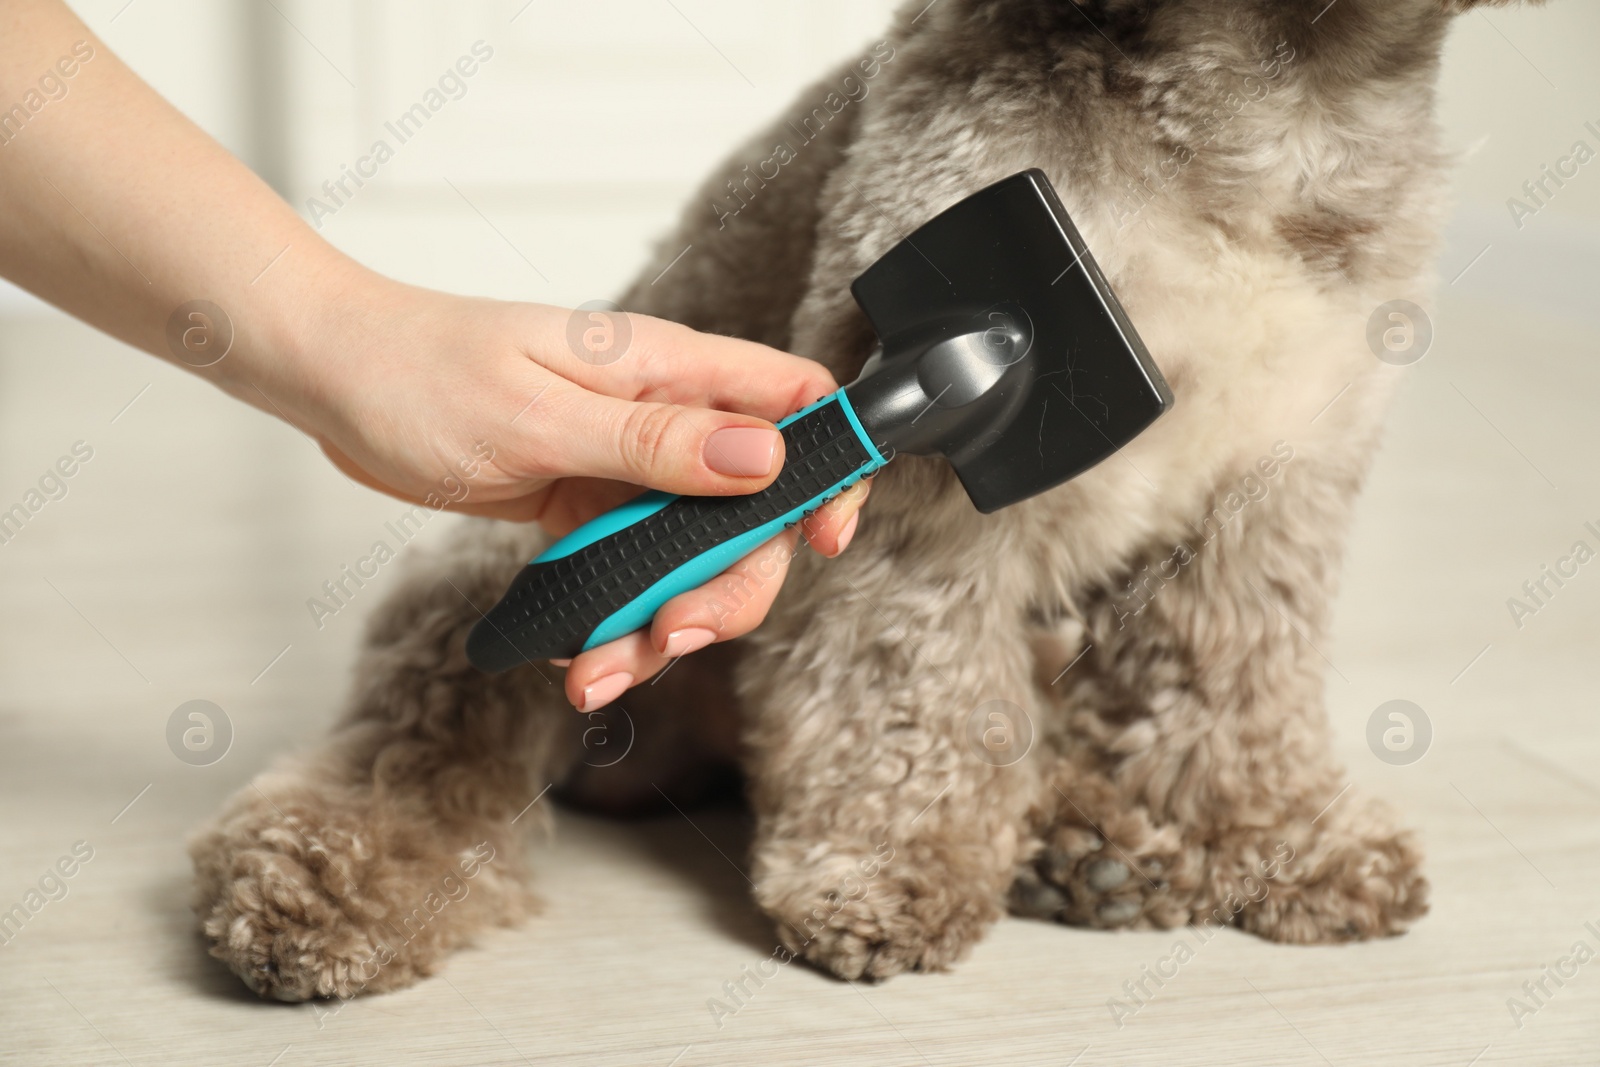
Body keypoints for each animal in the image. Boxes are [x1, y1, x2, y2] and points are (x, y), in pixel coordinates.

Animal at [187, 2, 1510, 1004]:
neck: (1270, 89)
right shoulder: (927, 488)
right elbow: (906, 689)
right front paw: (888, 865)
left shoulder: (1280, 475)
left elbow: (1238, 686)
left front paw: (1277, 835)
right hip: (485, 576)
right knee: (414, 753)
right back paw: (321, 885)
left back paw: (1088, 842)